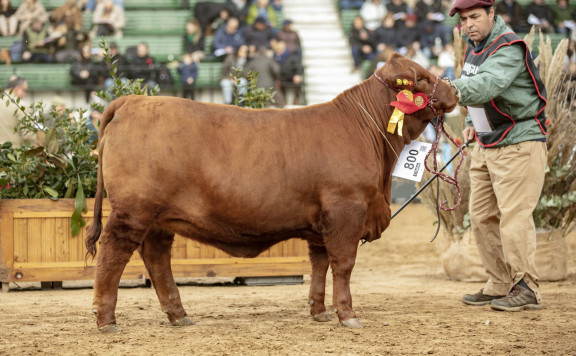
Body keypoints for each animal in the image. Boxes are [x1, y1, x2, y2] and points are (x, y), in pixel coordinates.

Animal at [85, 52, 460, 330]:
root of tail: (132, 101)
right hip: (132, 211)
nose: (455, 92)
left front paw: (319, 311)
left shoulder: (320, 223)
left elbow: (320, 264)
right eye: (422, 78)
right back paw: (106, 320)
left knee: (156, 257)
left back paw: (179, 316)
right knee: (113, 253)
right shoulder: (346, 209)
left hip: (159, 219)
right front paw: (347, 315)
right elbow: (343, 264)